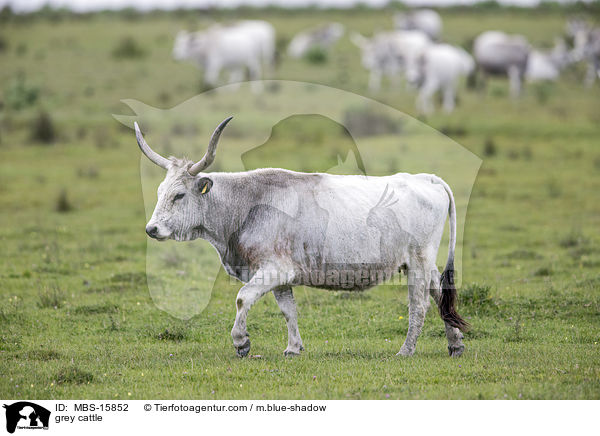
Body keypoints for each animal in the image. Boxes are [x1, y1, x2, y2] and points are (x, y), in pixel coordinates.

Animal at [134, 118, 472, 358]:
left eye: (179, 195)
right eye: (160, 192)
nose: (152, 229)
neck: (246, 204)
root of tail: (426, 178)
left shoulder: (271, 269)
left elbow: (243, 297)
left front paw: (242, 343)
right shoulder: (282, 275)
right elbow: (288, 310)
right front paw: (293, 348)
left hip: (418, 261)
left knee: (419, 305)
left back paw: (406, 350)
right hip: (423, 264)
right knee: (440, 294)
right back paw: (455, 344)